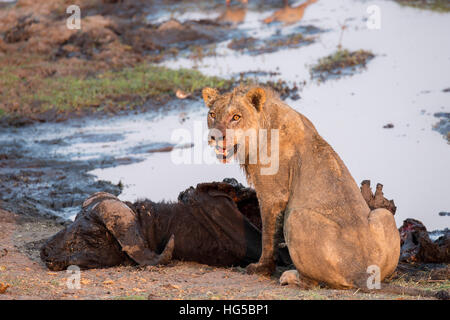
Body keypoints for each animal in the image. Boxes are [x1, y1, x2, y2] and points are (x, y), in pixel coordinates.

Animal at [202, 85, 400, 290]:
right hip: (383, 214)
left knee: (312, 282)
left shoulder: (272, 195)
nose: (214, 137)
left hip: (295, 216)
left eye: (236, 117)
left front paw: (262, 268)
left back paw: (289, 276)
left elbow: (268, 235)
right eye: (212, 114)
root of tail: (361, 273)